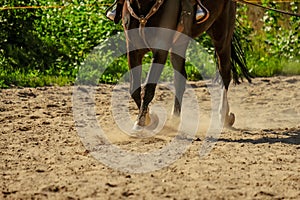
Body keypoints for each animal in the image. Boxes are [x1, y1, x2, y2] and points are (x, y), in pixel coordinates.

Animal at [121, 0, 251, 131]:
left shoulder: (161, 49)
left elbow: (148, 87)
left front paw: (140, 122)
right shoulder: (132, 49)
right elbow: (134, 89)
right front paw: (148, 117)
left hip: (222, 35)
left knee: (225, 73)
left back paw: (223, 116)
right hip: (179, 44)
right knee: (180, 79)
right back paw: (175, 118)